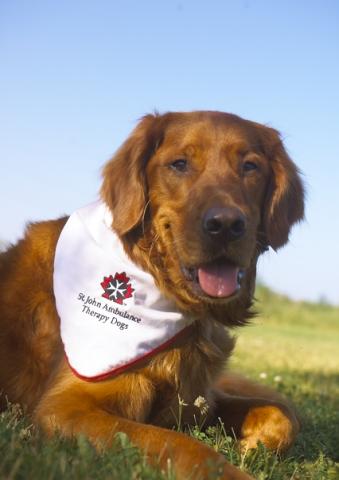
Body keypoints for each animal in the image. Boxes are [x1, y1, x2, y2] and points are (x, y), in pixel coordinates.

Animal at [0, 110, 304, 478]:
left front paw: (251, 446)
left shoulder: (199, 402)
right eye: (179, 164)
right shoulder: (64, 408)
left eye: (250, 167)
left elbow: (280, 415)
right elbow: (184, 446)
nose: (226, 225)